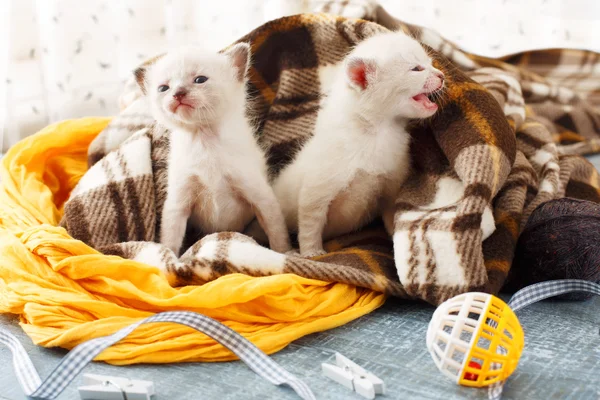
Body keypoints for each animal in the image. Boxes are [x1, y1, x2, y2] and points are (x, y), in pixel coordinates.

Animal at [141, 44, 290, 256]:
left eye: (200, 80)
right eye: (163, 88)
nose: (178, 93)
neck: (204, 141)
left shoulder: (260, 194)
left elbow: (276, 228)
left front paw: (286, 253)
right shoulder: (178, 203)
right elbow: (170, 237)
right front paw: (170, 257)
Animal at [274, 31, 442, 256]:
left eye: (430, 63)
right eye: (416, 69)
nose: (442, 75)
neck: (378, 132)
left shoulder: (390, 190)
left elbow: (392, 217)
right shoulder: (316, 190)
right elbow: (311, 223)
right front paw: (311, 252)